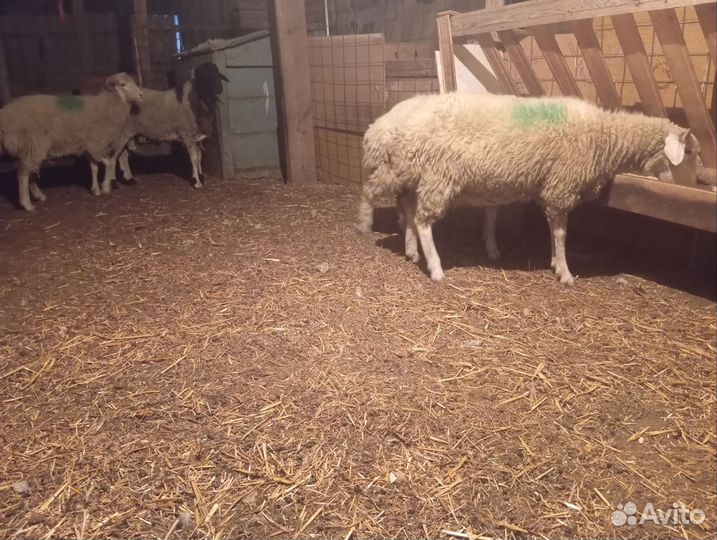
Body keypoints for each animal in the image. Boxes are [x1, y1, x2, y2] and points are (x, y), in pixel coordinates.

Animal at [0, 73, 143, 211]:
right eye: (123, 84)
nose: (141, 95)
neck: (107, 105)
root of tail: (4, 115)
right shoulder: (96, 144)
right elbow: (109, 163)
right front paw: (106, 187)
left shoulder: (89, 147)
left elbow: (94, 168)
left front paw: (95, 190)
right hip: (33, 145)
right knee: (23, 174)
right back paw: (27, 204)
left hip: (31, 149)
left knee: (30, 173)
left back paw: (38, 196)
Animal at [104, 62, 229, 193]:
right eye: (203, 75)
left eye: (217, 73)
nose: (219, 88)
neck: (194, 99)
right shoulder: (187, 134)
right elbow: (194, 158)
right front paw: (196, 182)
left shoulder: (197, 137)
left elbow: (199, 158)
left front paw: (202, 178)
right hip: (120, 134)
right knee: (112, 156)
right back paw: (112, 184)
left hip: (129, 134)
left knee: (122, 156)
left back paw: (130, 180)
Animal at [359, 93, 699, 283]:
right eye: (690, 153)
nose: (689, 184)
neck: (603, 136)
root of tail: (383, 124)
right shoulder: (562, 186)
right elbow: (561, 233)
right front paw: (564, 272)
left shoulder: (551, 187)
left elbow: (550, 230)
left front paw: (553, 262)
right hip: (437, 176)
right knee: (417, 218)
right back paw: (432, 265)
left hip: (414, 175)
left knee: (408, 211)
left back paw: (411, 250)